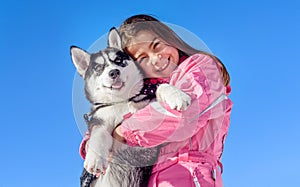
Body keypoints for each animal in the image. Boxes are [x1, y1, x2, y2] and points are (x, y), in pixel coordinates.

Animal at [71, 28, 190, 187]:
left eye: (119, 61)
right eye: (98, 68)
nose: (114, 72)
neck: (123, 101)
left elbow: (161, 87)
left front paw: (177, 95)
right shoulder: (98, 121)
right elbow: (98, 134)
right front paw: (95, 159)